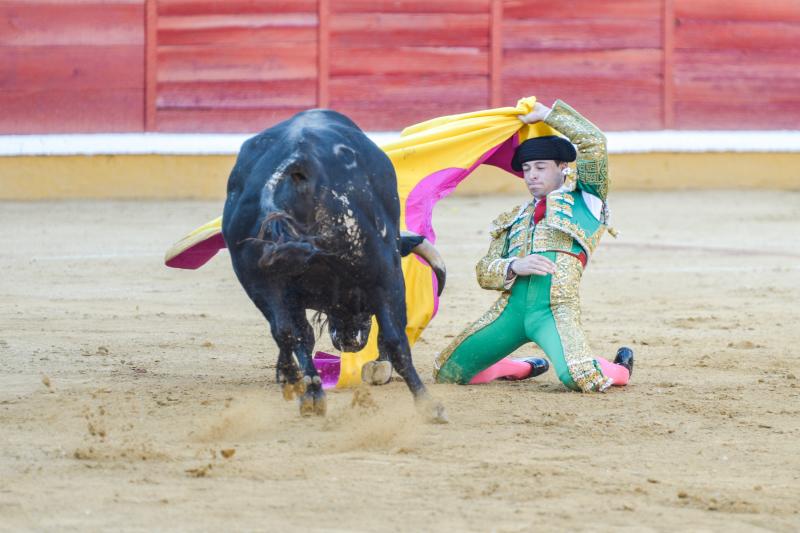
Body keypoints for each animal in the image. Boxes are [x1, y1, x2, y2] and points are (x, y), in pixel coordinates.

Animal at [225, 110, 446, 422]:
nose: (349, 341)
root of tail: (298, 160)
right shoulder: (387, 275)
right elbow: (394, 334)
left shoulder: (284, 290)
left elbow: (295, 334)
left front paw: (296, 381)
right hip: (382, 271)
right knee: (395, 338)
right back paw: (428, 405)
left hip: (258, 279)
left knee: (287, 331)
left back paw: (311, 394)